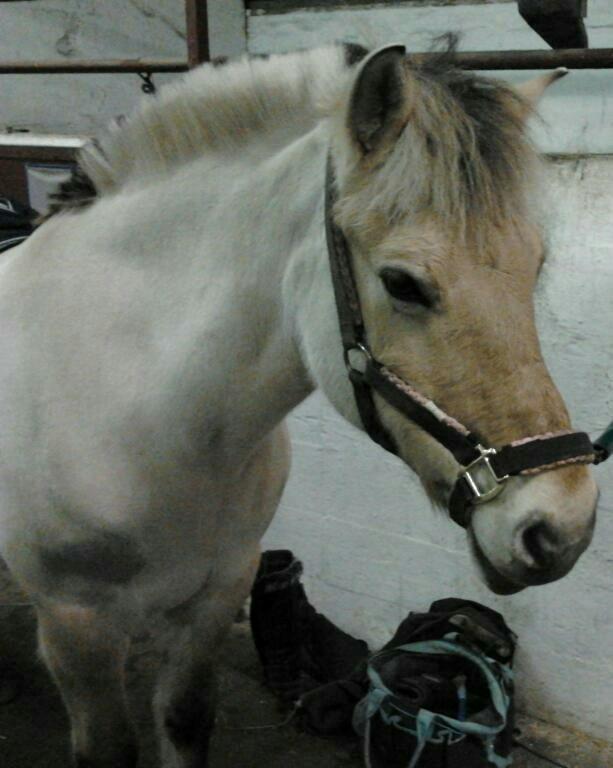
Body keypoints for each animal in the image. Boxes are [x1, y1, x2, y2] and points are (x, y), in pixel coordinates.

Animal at [0, 42, 599, 767]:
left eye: (534, 265)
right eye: (401, 283)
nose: (562, 529)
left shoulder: (217, 593)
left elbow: (185, 719)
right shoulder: (76, 626)